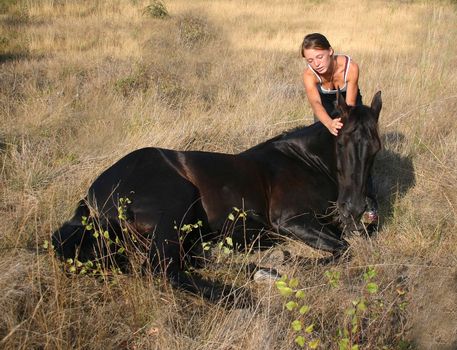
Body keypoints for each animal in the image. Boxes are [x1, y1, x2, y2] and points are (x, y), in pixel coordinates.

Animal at [52, 92, 382, 300]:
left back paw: (262, 269)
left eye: (376, 148)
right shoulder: (290, 220)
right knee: (163, 269)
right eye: (341, 143)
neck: (305, 161)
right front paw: (293, 261)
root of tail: (92, 197)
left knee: (189, 260)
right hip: (174, 207)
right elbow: (342, 249)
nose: (353, 207)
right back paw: (240, 294)